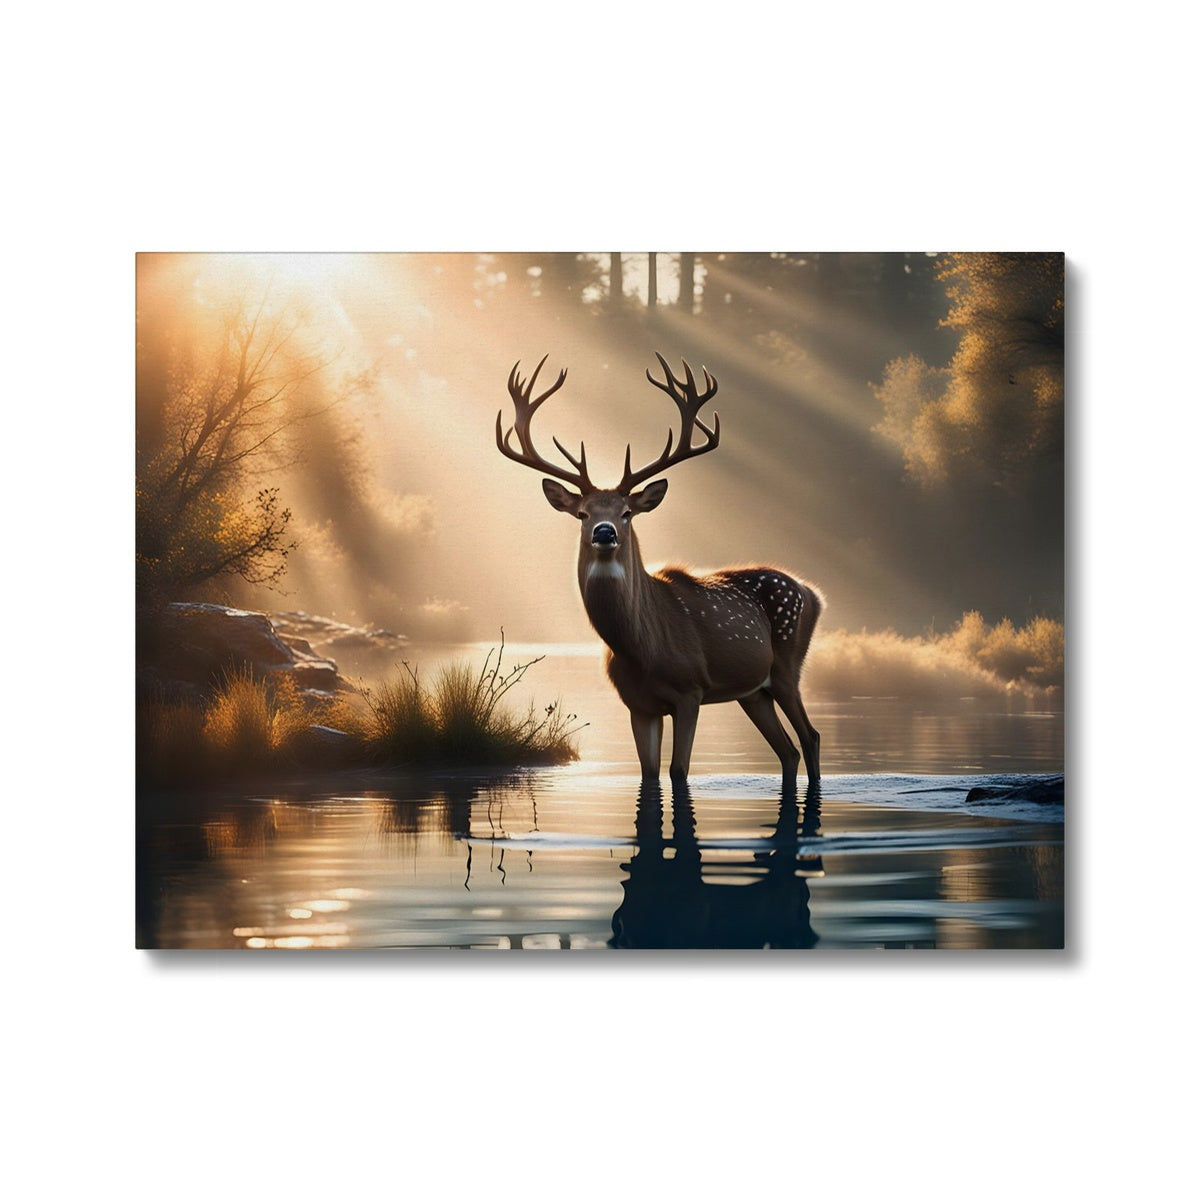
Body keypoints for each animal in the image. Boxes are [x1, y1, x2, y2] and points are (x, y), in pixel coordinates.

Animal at [496, 353, 822, 788]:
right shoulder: (638, 705)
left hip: (787, 664)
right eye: (582, 513)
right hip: (753, 691)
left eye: (626, 512)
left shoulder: (691, 690)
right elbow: (649, 775)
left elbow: (678, 771)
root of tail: (811, 592)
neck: (641, 650)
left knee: (810, 737)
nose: (604, 532)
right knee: (787, 750)